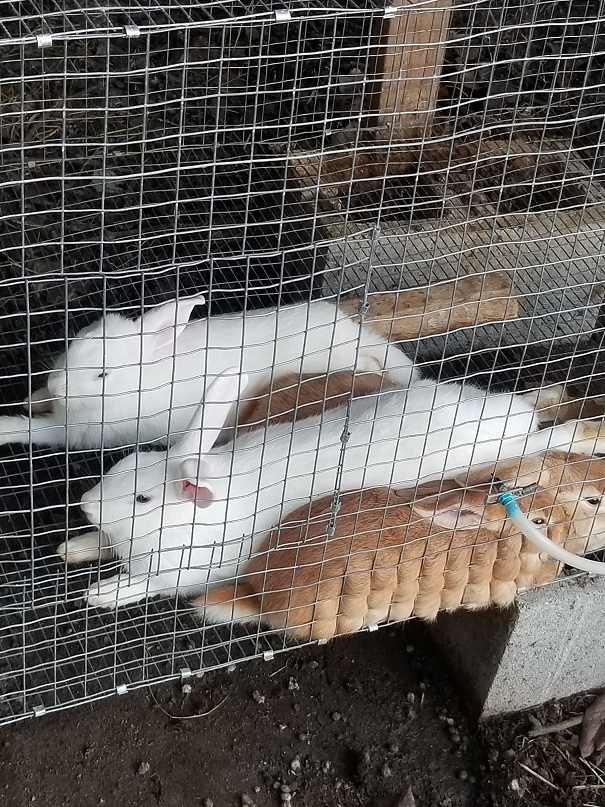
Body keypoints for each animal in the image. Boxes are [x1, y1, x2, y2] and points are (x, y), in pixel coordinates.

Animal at [0, 294, 416, 452]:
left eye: (102, 375)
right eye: (75, 343)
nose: (56, 384)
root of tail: (357, 338)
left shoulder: (77, 431)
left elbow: (37, 431)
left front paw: (8, 426)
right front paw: (33, 396)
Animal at [65, 366, 604, 608]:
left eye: (143, 499)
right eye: (125, 465)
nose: (85, 503)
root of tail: (512, 423)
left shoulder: (188, 571)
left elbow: (147, 584)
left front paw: (103, 593)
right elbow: (101, 546)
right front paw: (73, 547)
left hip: (503, 453)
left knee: (550, 438)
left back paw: (587, 433)